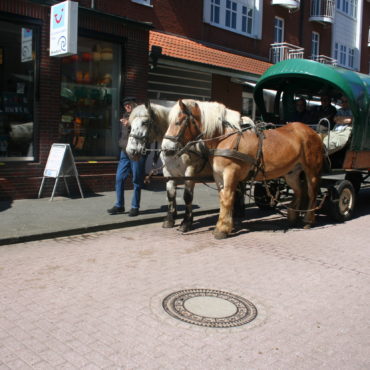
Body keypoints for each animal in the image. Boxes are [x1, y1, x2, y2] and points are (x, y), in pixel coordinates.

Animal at [162, 100, 324, 240]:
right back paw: (292, 216)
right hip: (292, 172)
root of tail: (312, 132)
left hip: (312, 170)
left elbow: (227, 199)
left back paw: (308, 220)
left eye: (178, 122)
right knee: (300, 191)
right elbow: (222, 199)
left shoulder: (230, 173)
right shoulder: (219, 177)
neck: (225, 138)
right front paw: (226, 225)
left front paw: (221, 229)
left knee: (312, 192)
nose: (166, 149)